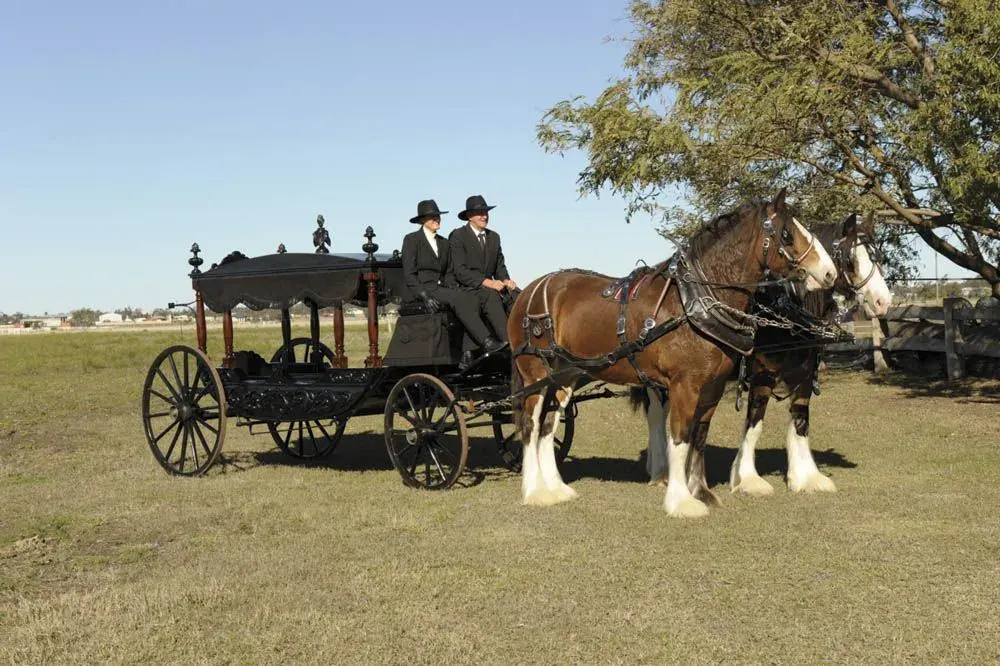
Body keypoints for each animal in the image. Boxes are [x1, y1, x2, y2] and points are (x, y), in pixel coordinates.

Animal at [507, 189, 839, 517]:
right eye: (786, 234)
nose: (829, 273)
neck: (695, 304)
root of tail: (528, 291)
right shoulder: (687, 385)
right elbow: (680, 437)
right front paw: (681, 500)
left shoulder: (713, 387)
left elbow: (700, 437)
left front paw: (702, 492)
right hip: (534, 374)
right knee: (530, 424)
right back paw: (535, 491)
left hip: (565, 375)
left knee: (549, 424)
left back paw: (557, 488)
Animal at [634, 212, 891, 497]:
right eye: (850, 259)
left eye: (878, 256)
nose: (883, 302)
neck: (785, 307)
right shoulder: (762, 373)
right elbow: (754, 424)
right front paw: (747, 478)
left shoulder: (803, 374)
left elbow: (801, 420)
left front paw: (806, 477)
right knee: (657, 415)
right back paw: (659, 470)